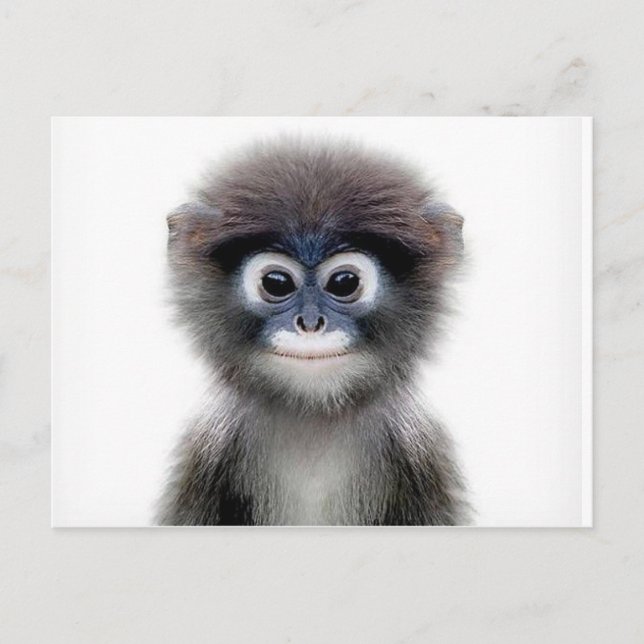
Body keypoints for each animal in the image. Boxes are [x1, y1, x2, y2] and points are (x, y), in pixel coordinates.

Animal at [155, 138, 471, 526]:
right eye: (275, 283)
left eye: (344, 282)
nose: (309, 323)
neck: (314, 416)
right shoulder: (207, 449)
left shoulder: (420, 449)